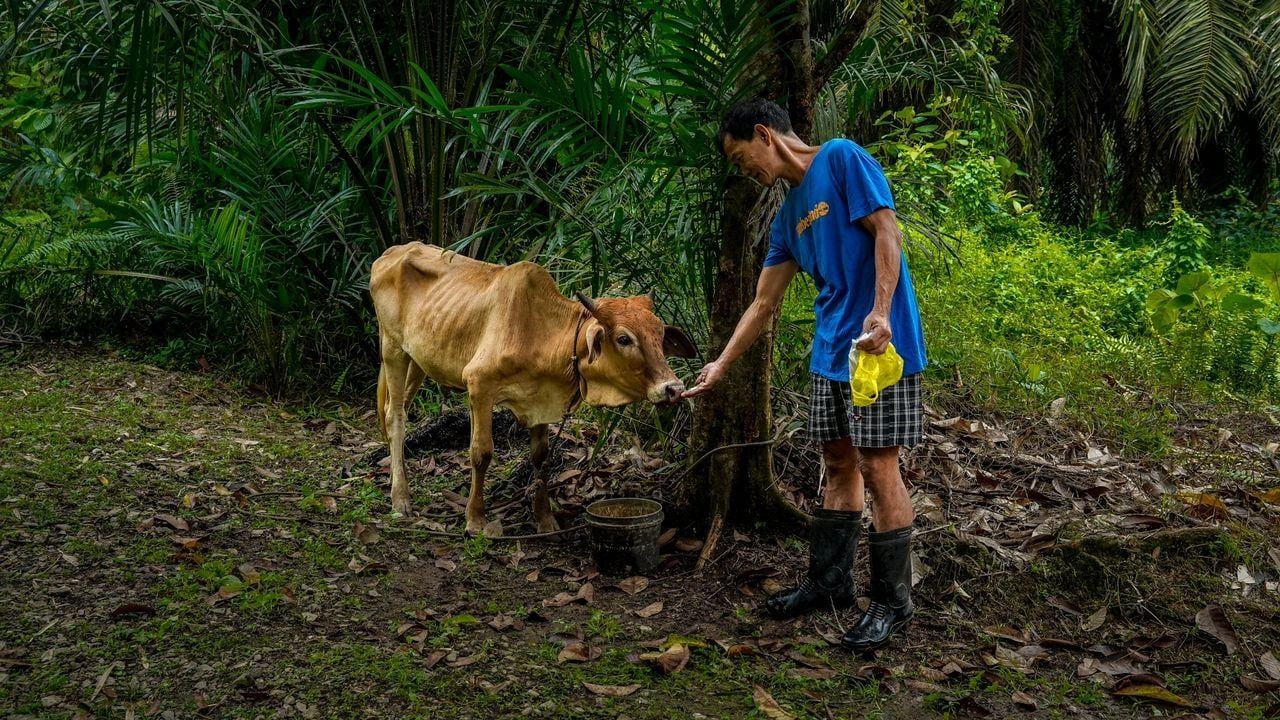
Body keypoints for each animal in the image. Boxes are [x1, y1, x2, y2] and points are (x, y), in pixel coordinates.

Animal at [371, 242, 696, 532]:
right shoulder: (479, 384)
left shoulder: (542, 400)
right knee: (395, 416)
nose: (673, 388)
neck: (540, 333)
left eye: (659, 334)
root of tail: (392, 251)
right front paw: (475, 520)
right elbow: (481, 453)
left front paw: (545, 519)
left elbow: (541, 457)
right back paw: (400, 498)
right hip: (393, 349)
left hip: (418, 360)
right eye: (624, 339)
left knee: (397, 410)